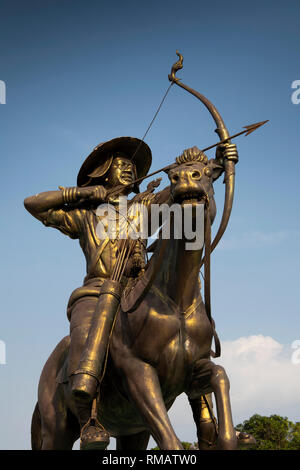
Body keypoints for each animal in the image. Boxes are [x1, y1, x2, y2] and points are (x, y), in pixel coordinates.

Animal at [29, 149, 237, 450]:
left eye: (208, 172)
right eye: (173, 176)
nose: (185, 176)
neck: (176, 303)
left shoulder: (193, 371)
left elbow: (220, 375)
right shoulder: (138, 373)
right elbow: (171, 442)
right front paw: (92, 190)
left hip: (132, 431)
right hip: (56, 429)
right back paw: (92, 431)